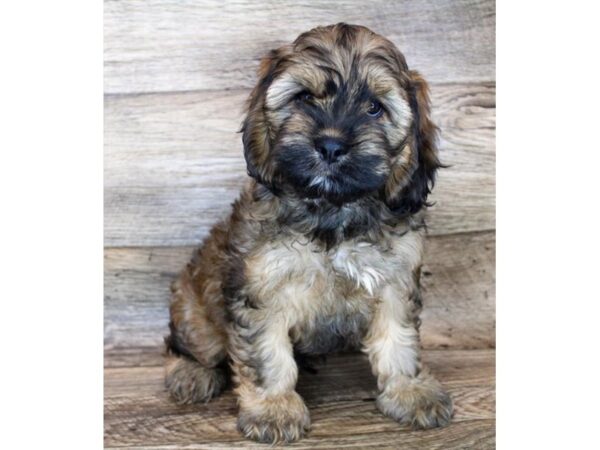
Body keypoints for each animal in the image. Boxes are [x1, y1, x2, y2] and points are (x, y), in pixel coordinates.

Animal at [163, 23, 450, 442]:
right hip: (195, 311)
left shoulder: (395, 280)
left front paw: (409, 391)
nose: (330, 145)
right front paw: (274, 408)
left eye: (374, 108)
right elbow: (267, 353)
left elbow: (398, 339)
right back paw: (191, 372)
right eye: (303, 99)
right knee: (191, 345)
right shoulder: (261, 287)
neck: (332, 210)